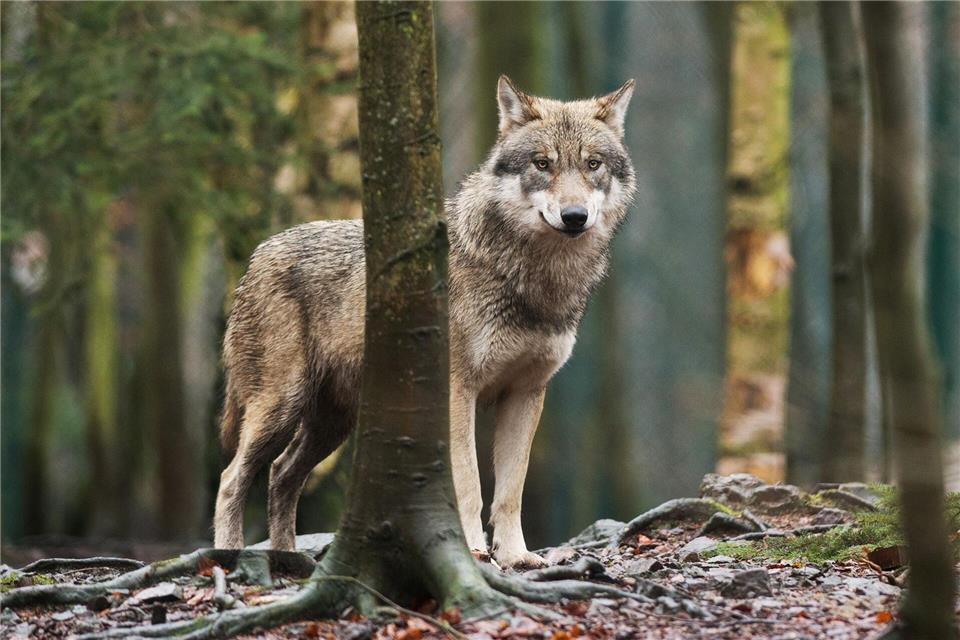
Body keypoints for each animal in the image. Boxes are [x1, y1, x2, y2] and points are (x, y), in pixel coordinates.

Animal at [213, 76, 636, 568]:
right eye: (542, 163)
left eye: (592, 164)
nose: (574, 216)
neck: (533, 279)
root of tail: (257, 255)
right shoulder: (458, 391)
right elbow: (470, 485)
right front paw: (472, 551)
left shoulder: (526, 393)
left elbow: (511, 491)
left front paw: (516, 557)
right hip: (281, 406)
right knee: (231, 479)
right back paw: (229, 557)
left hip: (332, 424)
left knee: (281, 475)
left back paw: (288, 560)